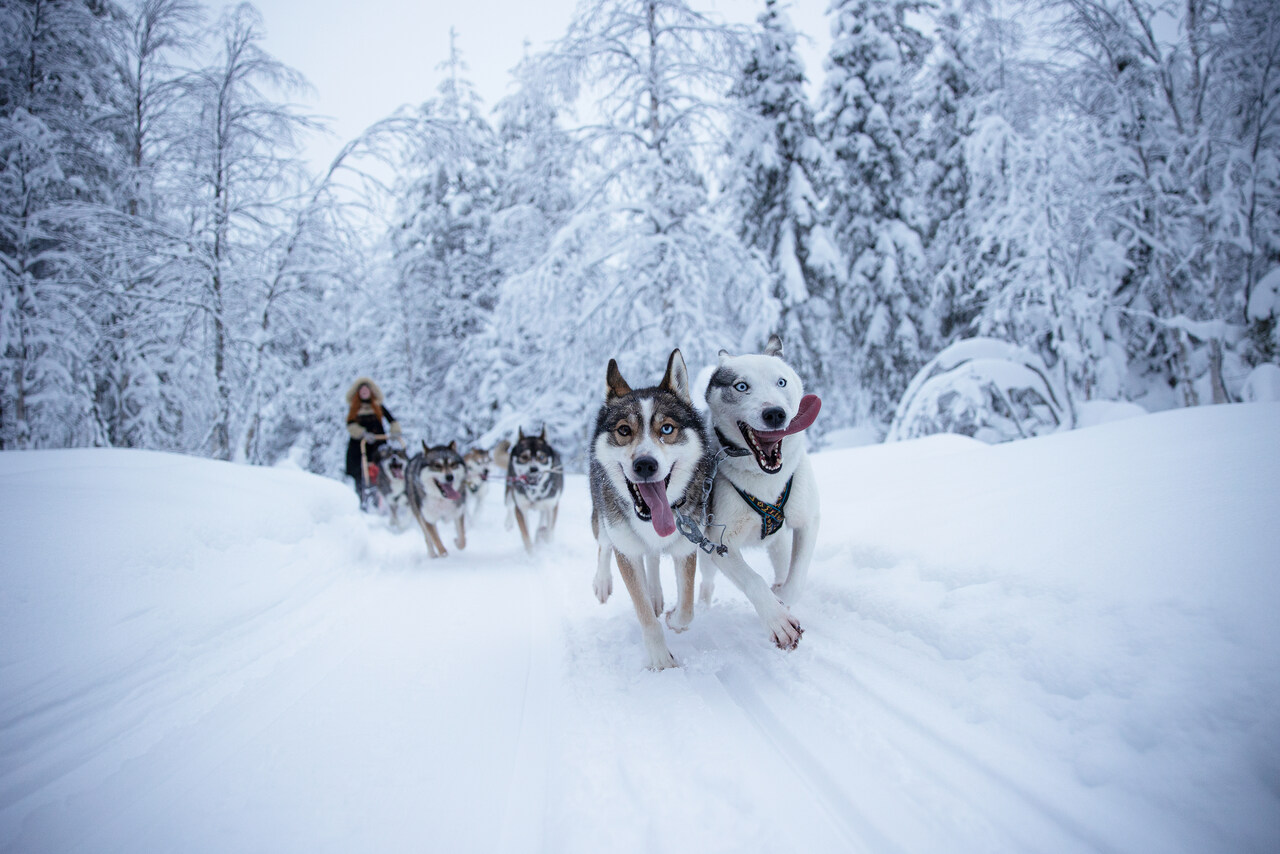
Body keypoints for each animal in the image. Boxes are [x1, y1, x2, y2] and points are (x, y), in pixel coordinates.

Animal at [504, 427, 560, 555]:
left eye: (541, 457)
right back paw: (509, 523)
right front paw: (532, 555)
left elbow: (550, 531)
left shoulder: (551, 506)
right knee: (509, 505)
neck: (535, 490)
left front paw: (548, 546)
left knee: (542, 518)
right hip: (509, 489)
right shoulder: (521, 509)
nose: (534, 469)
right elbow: (525, 535)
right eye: (524, 457)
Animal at [586, 350, 716, 670]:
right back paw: (603, 582)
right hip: (601, 515)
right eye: (624, 430)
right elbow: (644, 612)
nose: (645, 464)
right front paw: (660, 659)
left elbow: (687, 608)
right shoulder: (627, 552)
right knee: (604, 545)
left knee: (654, 559)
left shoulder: (686, 546)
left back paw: (657, 594)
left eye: (666, 429)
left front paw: (674, 620)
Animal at [701, 332, 819, 647]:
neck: (763, 479)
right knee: (706, 579)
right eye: (741, 386)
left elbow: (797, 576)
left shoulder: (807, 522)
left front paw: (783, 599)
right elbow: (752, 579)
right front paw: (777, 619)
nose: (775, 413)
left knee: (782, 560)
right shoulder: (720, 544)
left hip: (779, 542)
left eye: (782, 382)